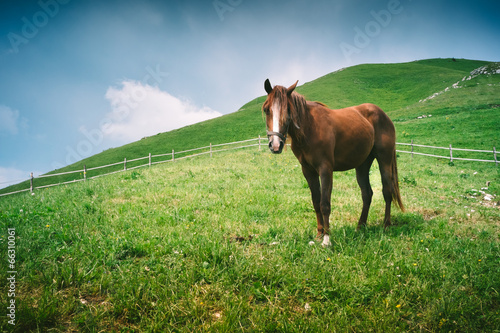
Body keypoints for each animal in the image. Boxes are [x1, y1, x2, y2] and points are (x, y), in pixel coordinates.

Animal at [264, 79, 404, 245]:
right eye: (266, 109)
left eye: (288, 110)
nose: (275, 144)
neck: (310, 128)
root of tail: (384, 115)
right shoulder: (308, 171)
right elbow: (316, 201)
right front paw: (319, 234)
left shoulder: (325, 169)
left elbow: (325, 203)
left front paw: (327, 239)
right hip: (362, 165)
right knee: (367, 194)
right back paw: (360, 227)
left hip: (384, 160)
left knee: (387, 190)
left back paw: (386, 225)